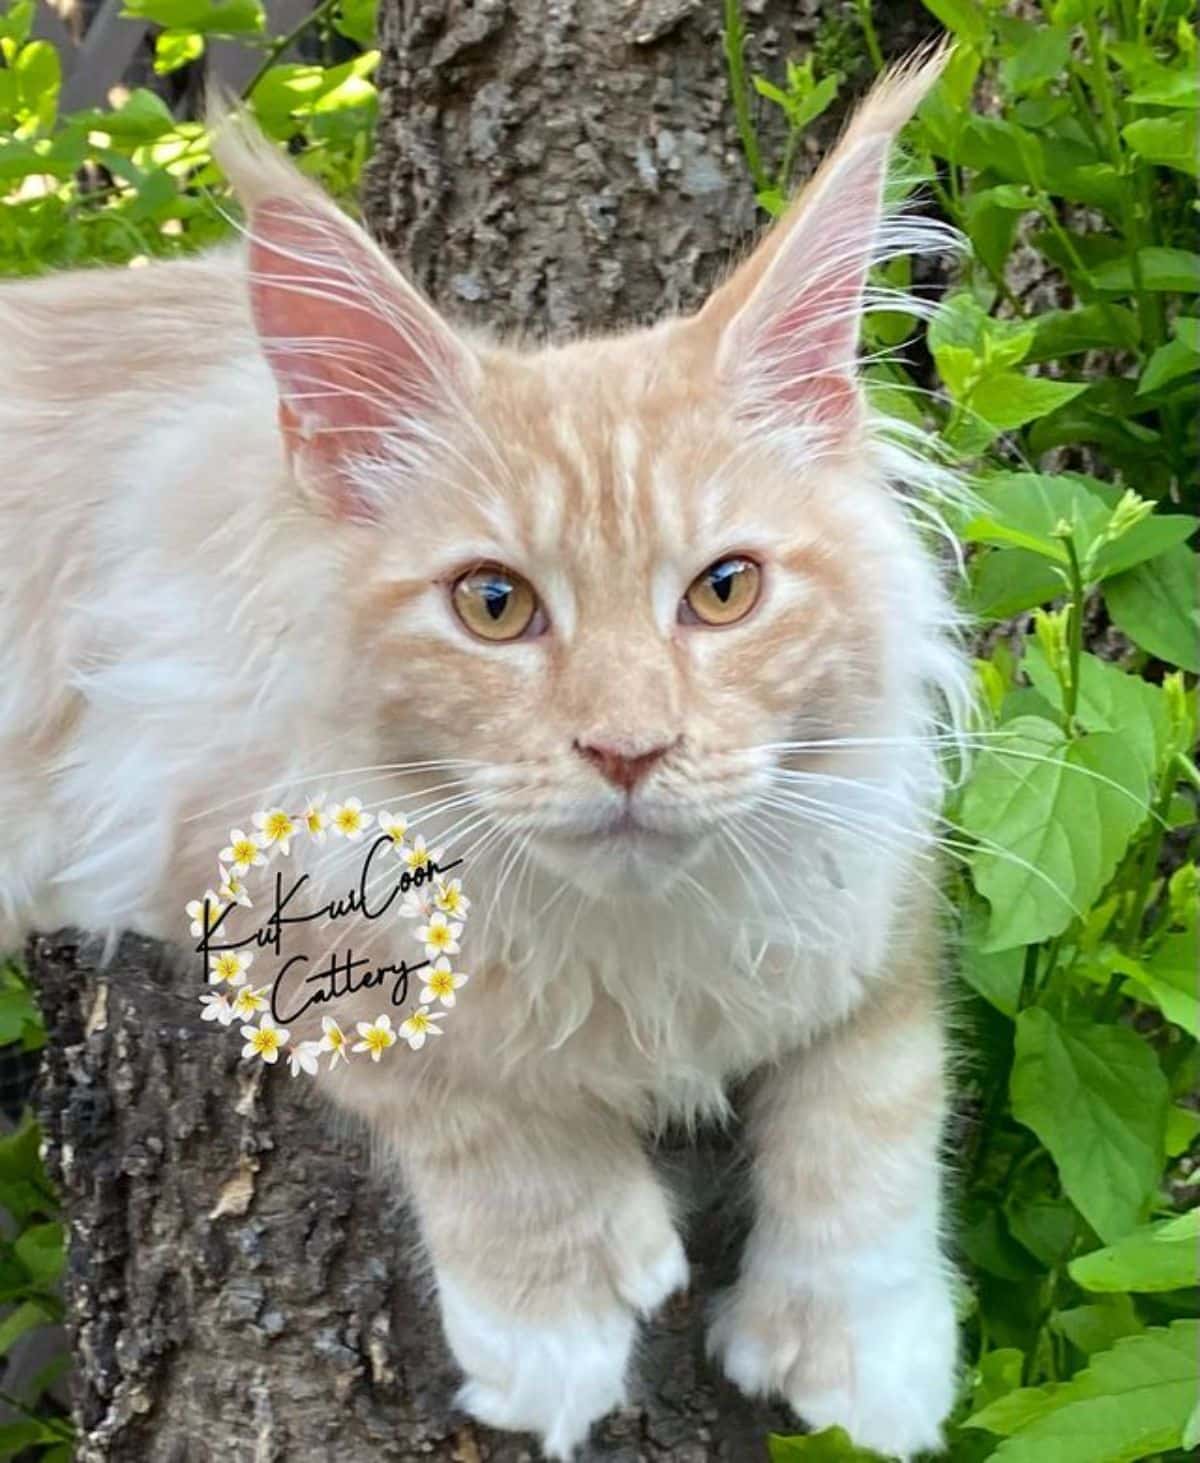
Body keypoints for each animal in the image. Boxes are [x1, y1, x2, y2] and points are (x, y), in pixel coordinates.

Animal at [0, 45, 971, 1463]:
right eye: (495, 605)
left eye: (725, 590)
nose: (628, 748)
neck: (635, 941)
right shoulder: (205, 834)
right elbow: (449, 1078)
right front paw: (556, 1317)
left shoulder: (870, 870)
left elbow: (877, 1101)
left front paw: (864, 1351)